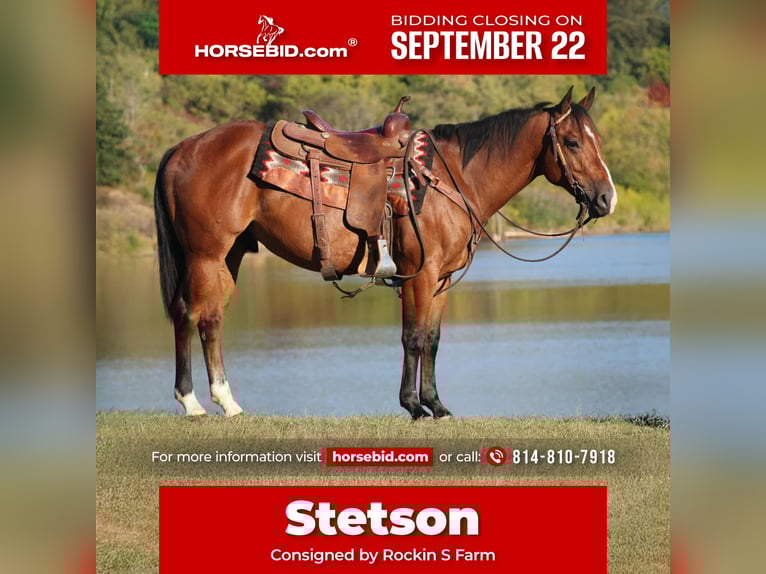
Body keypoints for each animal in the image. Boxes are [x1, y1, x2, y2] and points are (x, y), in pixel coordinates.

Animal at [153, 87, 617, 419]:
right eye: (572, 142)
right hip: (205, 255)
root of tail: (183, 147)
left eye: (596, 139)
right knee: (194, 316)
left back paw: (227, 404)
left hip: (229, 256)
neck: (451, 179)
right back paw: (193, 403)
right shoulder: (420, 273)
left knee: (210, 319)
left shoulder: (441, 279)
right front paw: (413, 405)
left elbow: (431, 339)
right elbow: (412, 337)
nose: (606, 199)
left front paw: (436, 405)